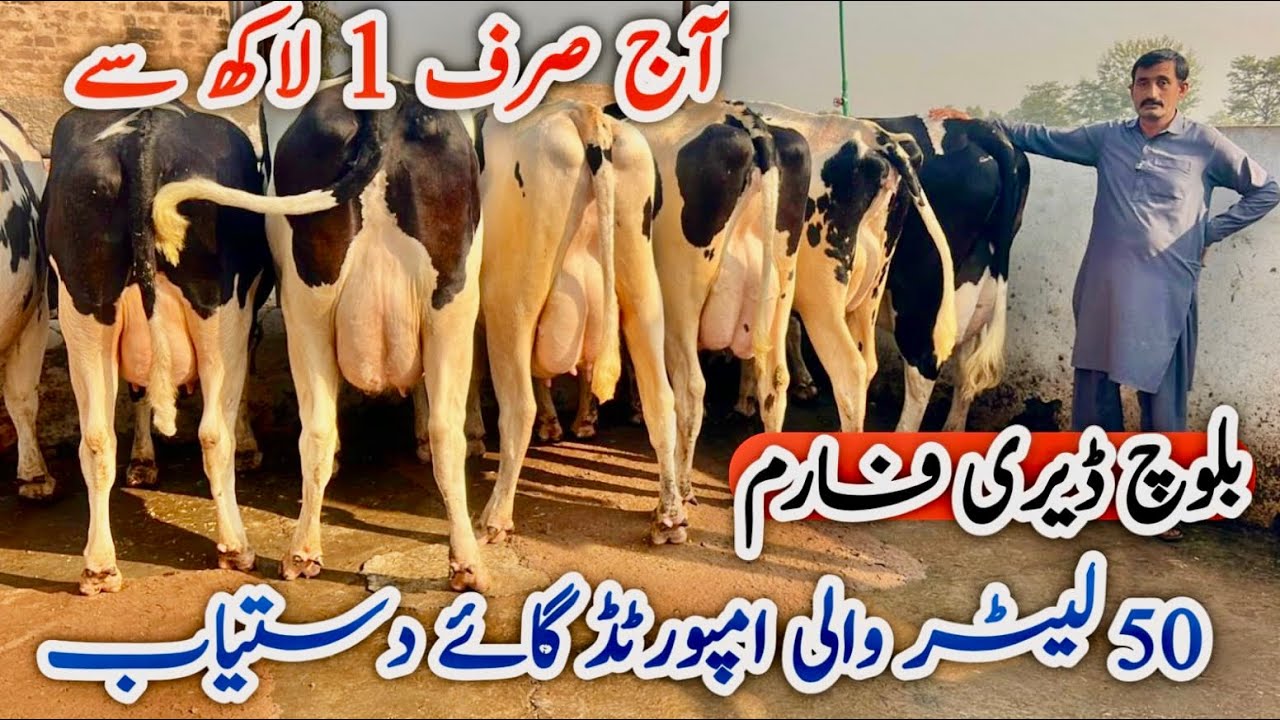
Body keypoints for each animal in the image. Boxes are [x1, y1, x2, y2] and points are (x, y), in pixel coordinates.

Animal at [43, 101, 272, 595]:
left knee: (96, 438)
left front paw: (144, 462)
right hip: (218, 312)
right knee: (212, 433)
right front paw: (249, 448)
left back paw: (99, 568)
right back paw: (235, 548)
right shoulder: (244, 321)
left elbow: (140, 393)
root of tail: (142, 135)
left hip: (84, 315)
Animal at [152, 79, 489, 591]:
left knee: (320, 428)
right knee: (443, 432)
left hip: (313, 306)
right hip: (448, 302)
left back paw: (302, 553)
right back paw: (463, 562)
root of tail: (381, 109)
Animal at [468, 98, 684, 544]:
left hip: (512, 300)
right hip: (641, 289)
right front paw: (565, 424)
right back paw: (668, 517)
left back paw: (495, 518)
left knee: (518, 407)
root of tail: (583, 113)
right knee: (661, 397)